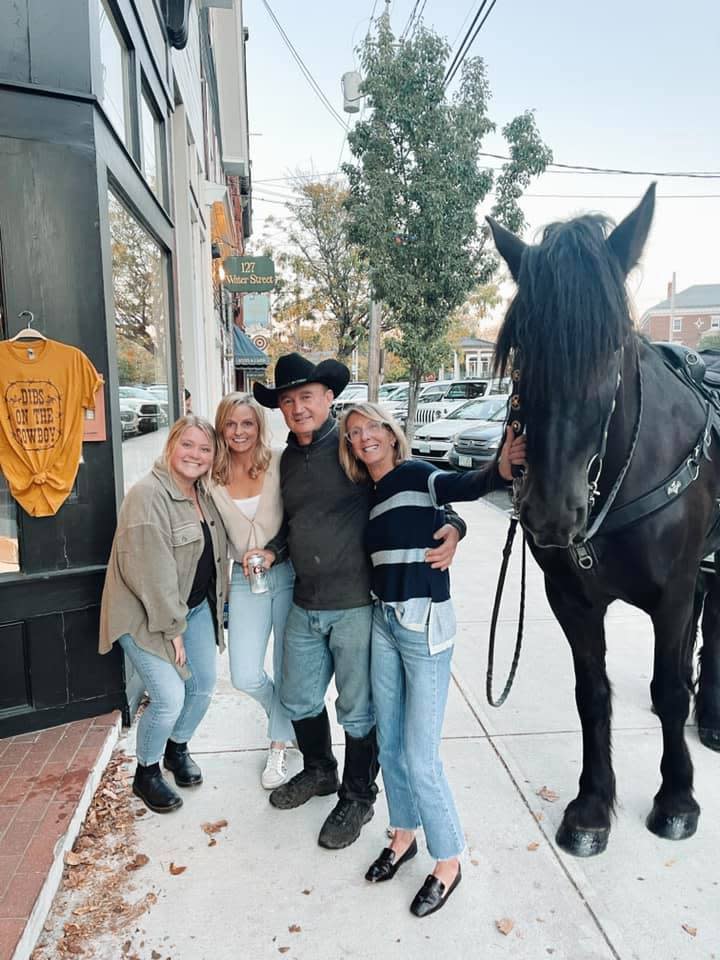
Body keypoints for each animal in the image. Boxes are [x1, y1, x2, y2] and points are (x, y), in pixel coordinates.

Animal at [486, 186, 720, 856]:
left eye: (613, 344)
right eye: (523, 346)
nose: (550, 511)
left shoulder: (672, 591)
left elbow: (669, 687)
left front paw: (677, 799)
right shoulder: (572, 596)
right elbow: (591, 694)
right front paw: (592, 805)